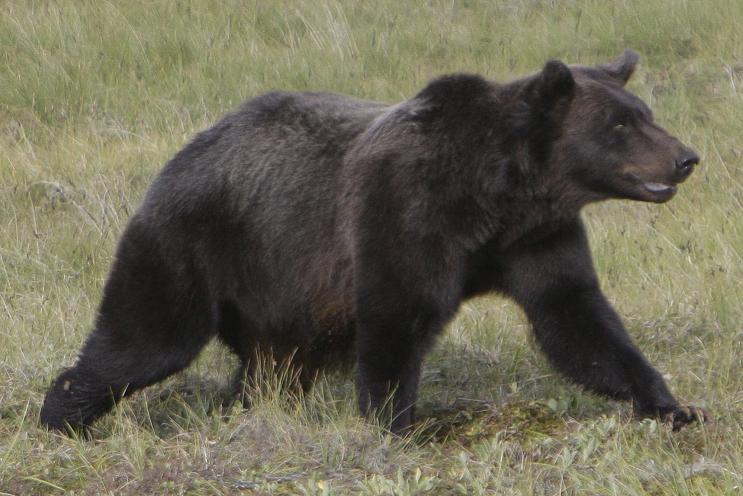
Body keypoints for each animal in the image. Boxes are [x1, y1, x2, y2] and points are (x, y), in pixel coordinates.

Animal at [40, 48, 708, 432]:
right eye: (620, 123)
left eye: (644, 112)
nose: (686, 158)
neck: (498, 195)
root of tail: (184, 152)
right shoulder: (406, 211)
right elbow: (397, 315)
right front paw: (396, 424)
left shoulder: (536, 239)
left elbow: (577, 319)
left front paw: (673, 405)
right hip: (197, 241)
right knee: (147, 336)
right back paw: (64, 413)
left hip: (281, 296)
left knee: (272, 366)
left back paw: (246, 405)